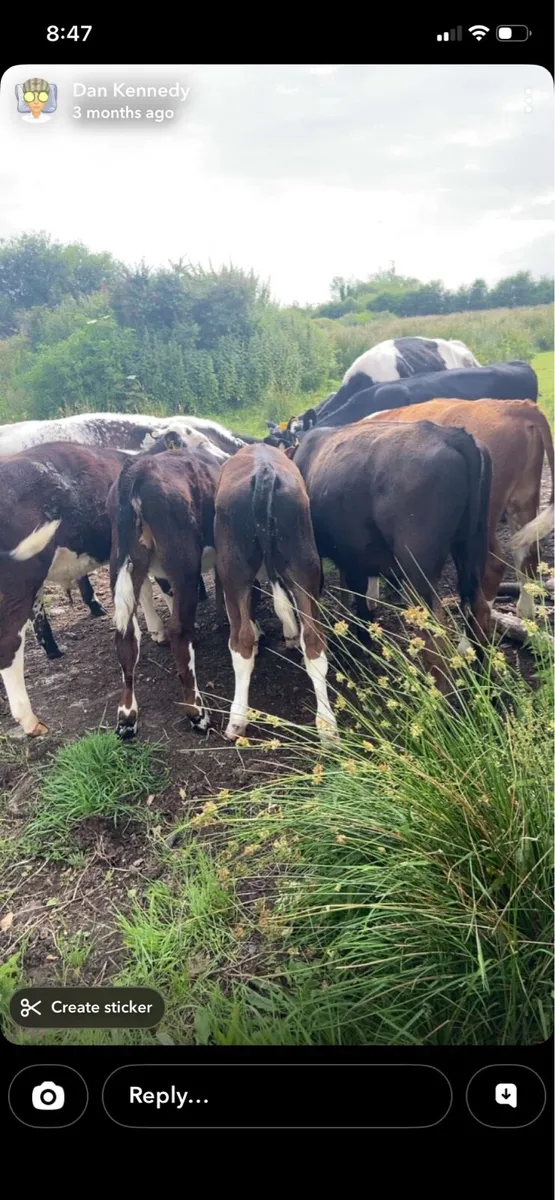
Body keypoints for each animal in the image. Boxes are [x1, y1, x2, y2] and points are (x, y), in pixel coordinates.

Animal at [109, 443, 223, 738]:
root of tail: (136, 471)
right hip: (184, 562)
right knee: (179, 631)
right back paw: (197, 712)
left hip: (124, 560)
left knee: (126, 634)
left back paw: (127, 716)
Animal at [214, 443, 337, 743]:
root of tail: (264, 470)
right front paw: (290, 633)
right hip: (305, 564)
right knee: (314, 640)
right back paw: (327, 725)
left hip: (233, 572)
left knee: (241, 641)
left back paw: (237, 720)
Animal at [288, 420, 493, 688]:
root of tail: (452, 435)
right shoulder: (354, 554)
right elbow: (356, 588)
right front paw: (362, 636)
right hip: (471, 547)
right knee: (480, 609)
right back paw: (484, 678)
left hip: (418, 568)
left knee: (434, 634)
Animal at [369, 399, 554, 622]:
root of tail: (517, 406)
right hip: (523, 499)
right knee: (527, 556)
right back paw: (525, 614)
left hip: (483, 517)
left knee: (490, 568)